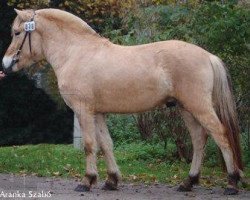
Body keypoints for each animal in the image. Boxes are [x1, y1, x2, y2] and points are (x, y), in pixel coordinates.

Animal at [1, 8, 243, 195]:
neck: (75, 52)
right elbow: (106, 144)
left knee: (220, 135)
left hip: (199, 107)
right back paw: (188, 182)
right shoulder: (98, 113)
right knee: (199, 139)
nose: (5, 64)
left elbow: (90, 145)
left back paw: (232, 182)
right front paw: (111, 180)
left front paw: (87, 181)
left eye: (17, 32)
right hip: (186, 109)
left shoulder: (83, 111)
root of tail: (208, 56)